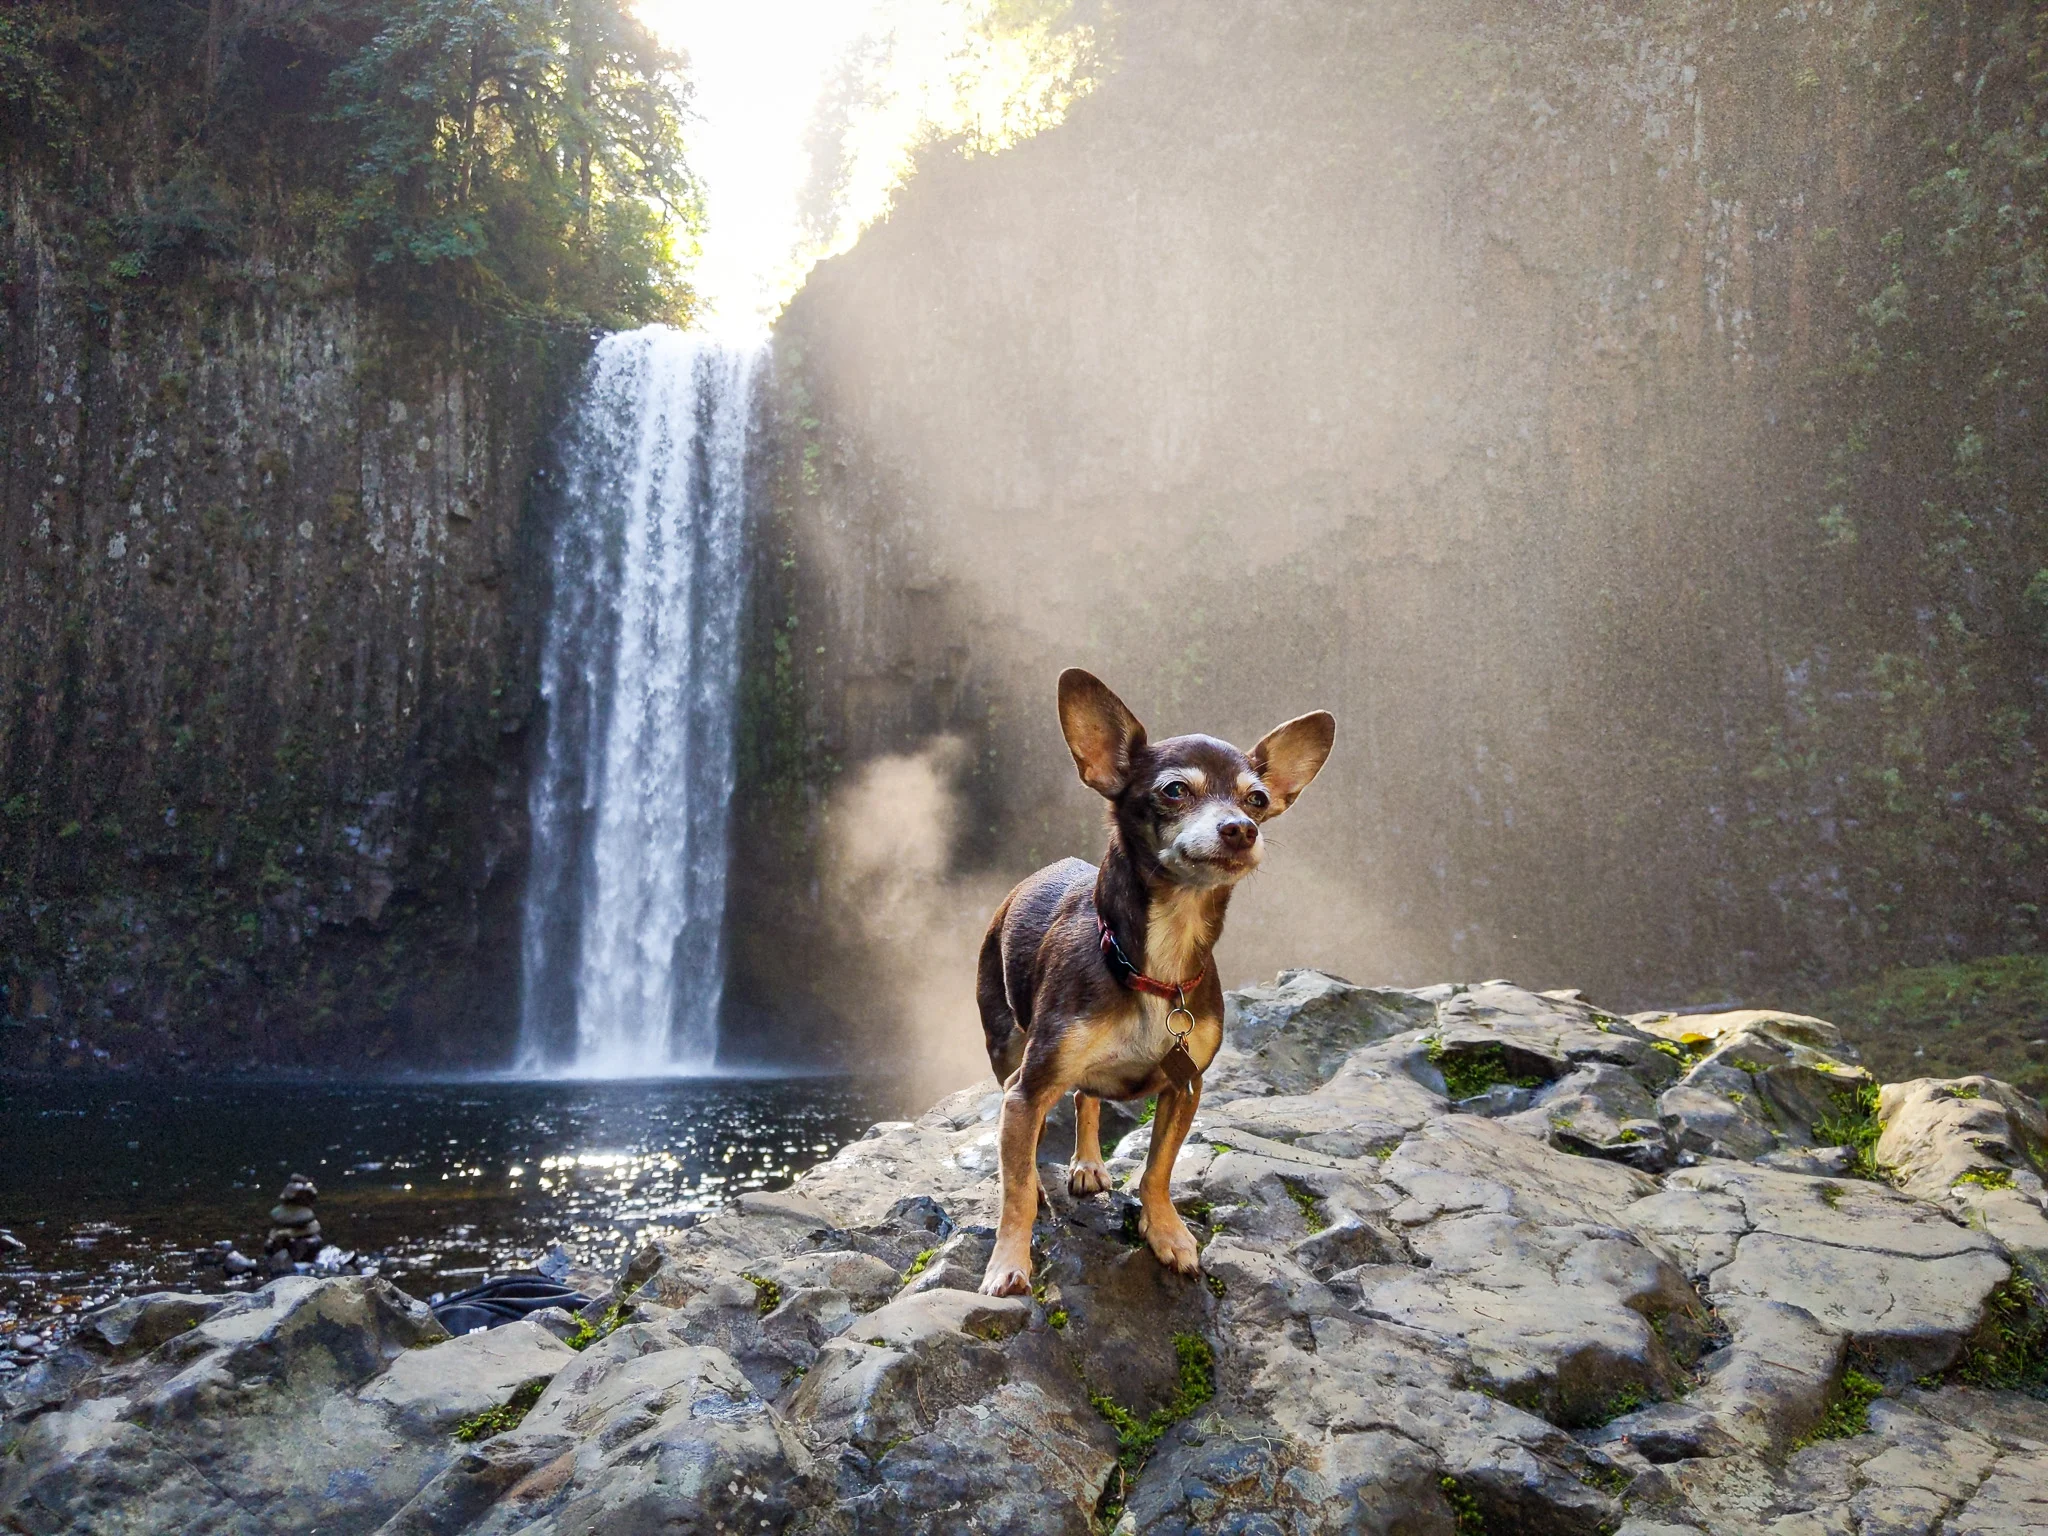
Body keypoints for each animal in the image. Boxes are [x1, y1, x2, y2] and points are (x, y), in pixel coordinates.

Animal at [978, 671, 1335, 1302]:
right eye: (1174, 791)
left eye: (1257, 800)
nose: (1240, 829)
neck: (1159, 961)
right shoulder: (1028, 1086)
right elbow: (1016, 1188)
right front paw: (1008, 1261)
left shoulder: (1185, 1087)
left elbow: (1158, 1170)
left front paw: (1166, 1233)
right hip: (1006, 1048)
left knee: (1087, 1098)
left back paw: (1088, 1163)